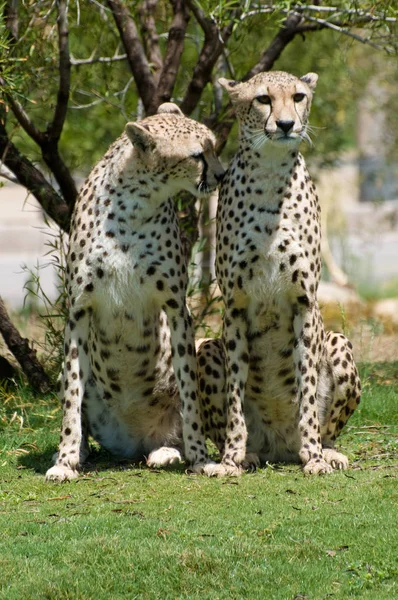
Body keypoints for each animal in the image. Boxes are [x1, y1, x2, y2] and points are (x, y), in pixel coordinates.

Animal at [45, 101, 225, 480]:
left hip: (205, 348)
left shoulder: (176, 308)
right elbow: (71, 397)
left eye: (215, 148)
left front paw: (201, 459)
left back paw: (168, 451)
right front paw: (65, 460)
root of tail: (134, 442)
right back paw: (80, 452)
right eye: (198, 155)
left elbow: (189, 394)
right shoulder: (78, 310)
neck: (136, 200)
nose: (222, 175)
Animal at [197, 70, 362, 476]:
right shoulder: (234, 307)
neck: (270, 175)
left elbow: (307, 393)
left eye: (298, 96)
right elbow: (235, 400)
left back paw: (326, 452)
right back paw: (248, 454)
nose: (286, 124)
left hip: (339, 342)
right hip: (206, 348)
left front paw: (315, 457)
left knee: (327, 425)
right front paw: (230, 459)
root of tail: (279, 447)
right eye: (263, 99)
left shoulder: (304, 303)